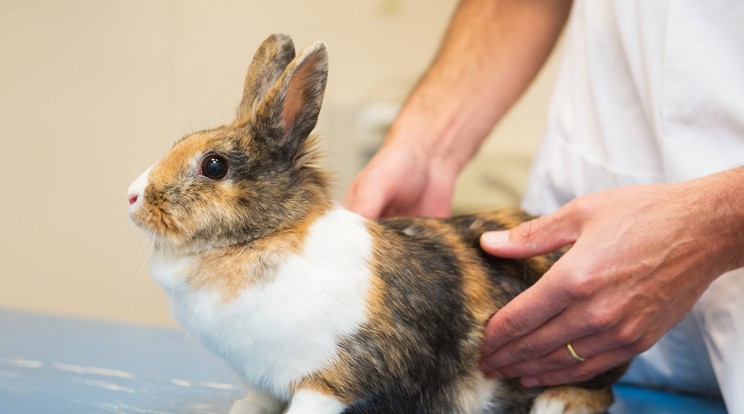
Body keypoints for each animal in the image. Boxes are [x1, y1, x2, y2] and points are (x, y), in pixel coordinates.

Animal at [128, 33, 628, 414]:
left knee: (601, 391)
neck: (266, 237)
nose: (131, 197)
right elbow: (255, 401)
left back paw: (558, 403)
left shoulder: (331, 376)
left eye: (214, 166)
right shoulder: (260, 379)